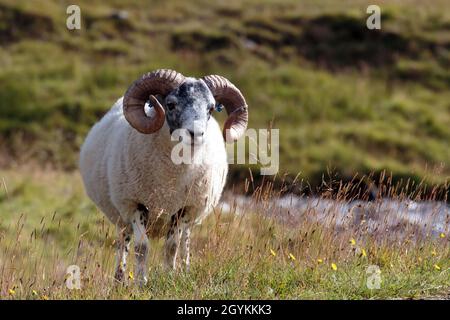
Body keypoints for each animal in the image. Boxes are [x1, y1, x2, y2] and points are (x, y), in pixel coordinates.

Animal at [77, 69, 246, 284]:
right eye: (171, 104)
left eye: (210, 108)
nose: (196, 134)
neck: (170, 178)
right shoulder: (136, 204)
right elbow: (142, 247)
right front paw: (141, 283)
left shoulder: (182, 209)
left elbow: (172, 246)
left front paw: (171, 277)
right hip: (121, 214)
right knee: (123, 242)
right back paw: (119, 280)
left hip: (192, 214)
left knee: (185, 243)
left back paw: (185, 270)